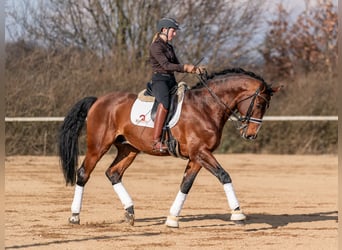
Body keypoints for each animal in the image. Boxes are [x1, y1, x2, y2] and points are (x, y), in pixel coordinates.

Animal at [57, 67, 280, 228]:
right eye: (259, 104)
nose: (251, 134)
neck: (206, 107)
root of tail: (98, 101)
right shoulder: (201, 152)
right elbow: (224, 176)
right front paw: (238, 214)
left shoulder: (197, 156)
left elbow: (185, 184)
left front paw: (172, 219)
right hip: (98, 146)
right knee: (83, 173)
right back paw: (75, 216)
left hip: (129, 149)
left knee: (113, 173)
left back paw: (130, 212)